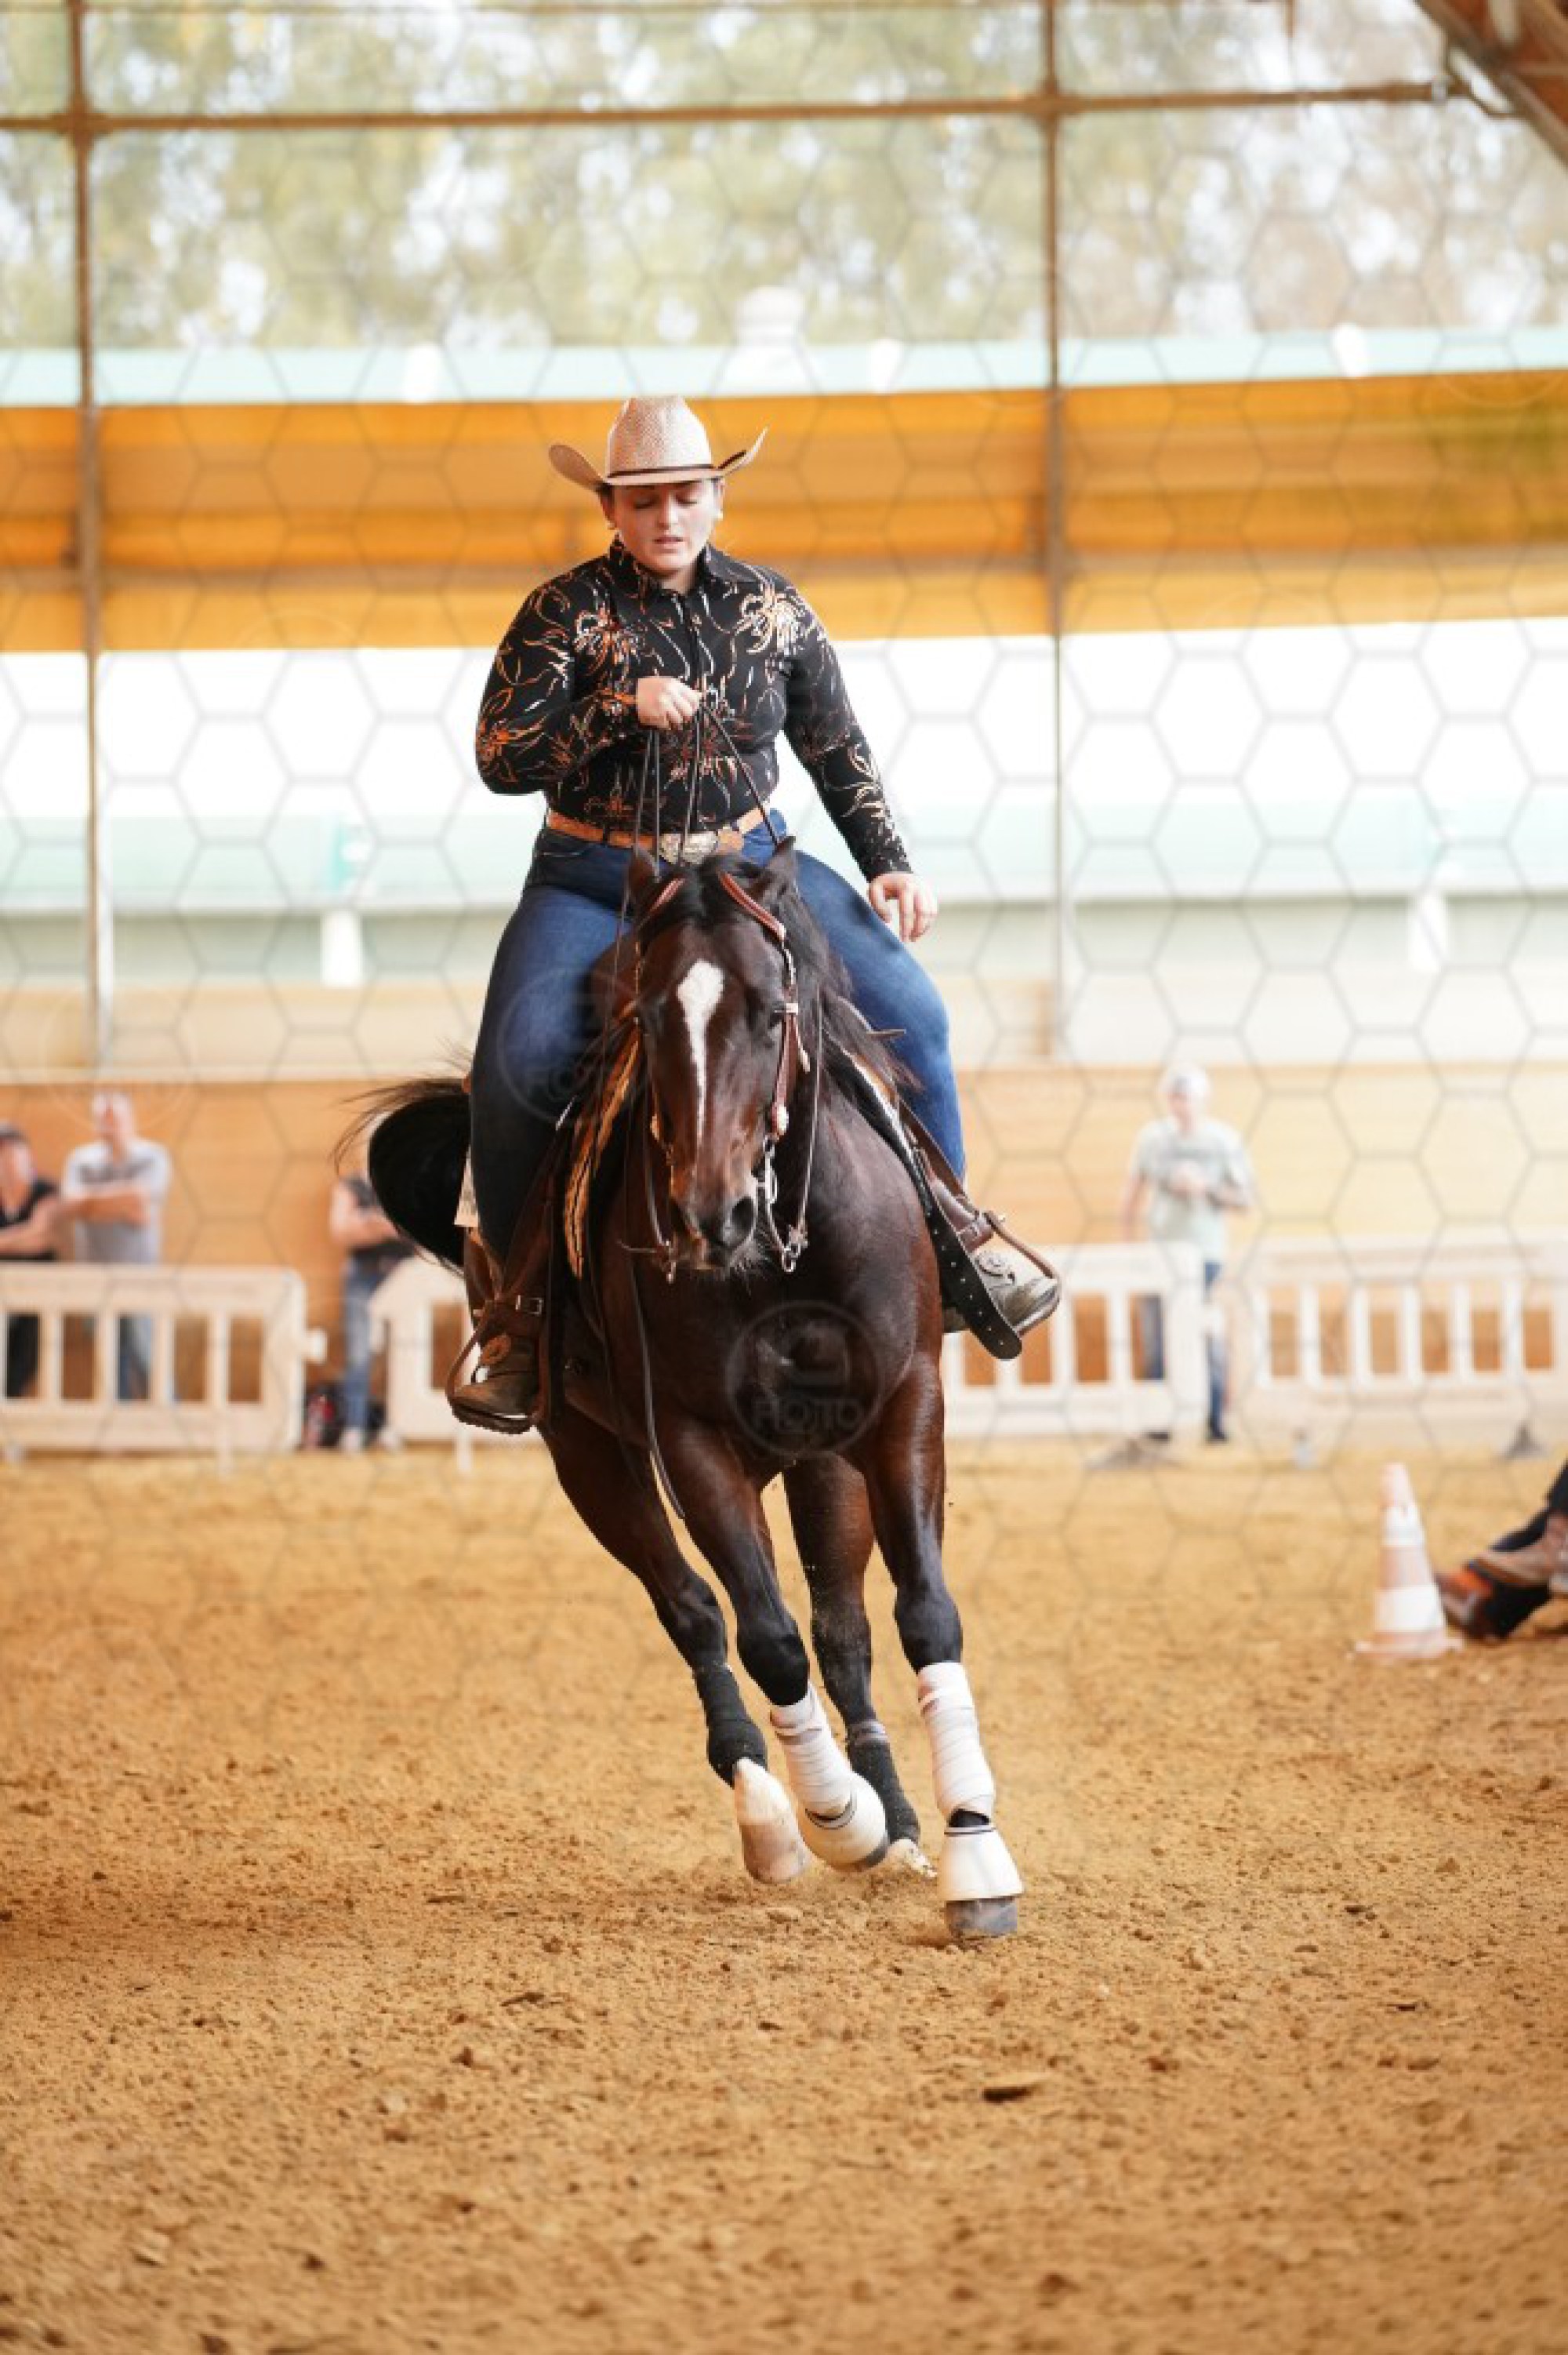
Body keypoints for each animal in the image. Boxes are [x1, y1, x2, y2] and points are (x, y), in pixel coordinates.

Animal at [364, 838, 1024, 1941]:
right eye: (649, 1016)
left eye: (769, 1010)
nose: (706, 1215)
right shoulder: (688, 1441)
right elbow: (764, 1637)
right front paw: (831, 1815)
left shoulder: (900, 1408)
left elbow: (919, 1614)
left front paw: (968, 1845)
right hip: (588, 1453)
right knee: (694, 1614)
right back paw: (772, 1813)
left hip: (818, 1461)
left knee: (842, 1631)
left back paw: (894, 1818)